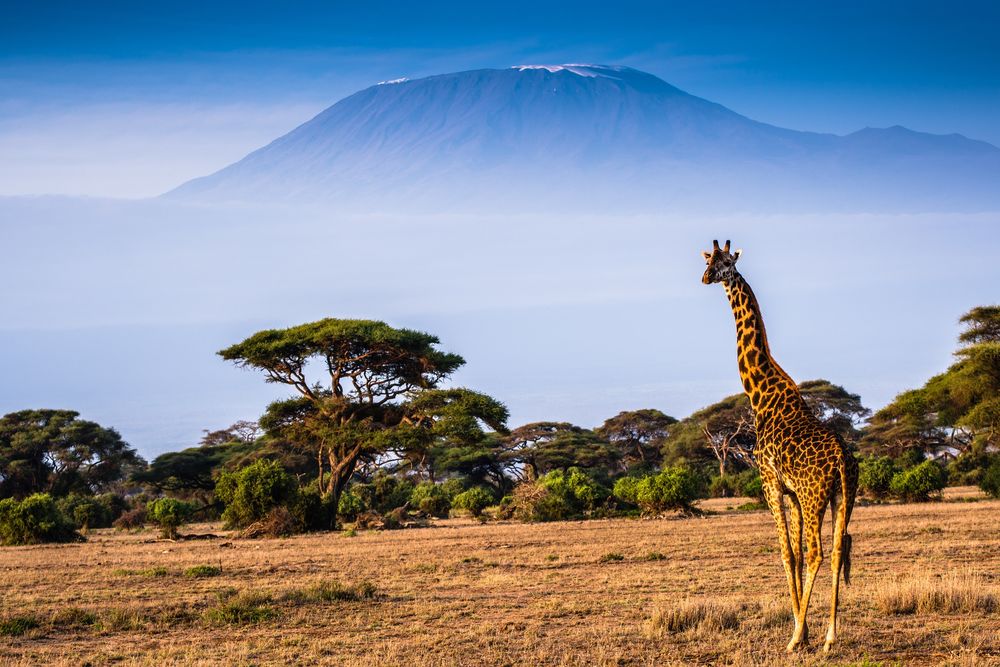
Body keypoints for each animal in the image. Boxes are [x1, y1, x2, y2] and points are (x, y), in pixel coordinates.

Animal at [700, 239, 858, 653]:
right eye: (709, 260)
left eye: (725, 262)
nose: (705, 277)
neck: (760, 392)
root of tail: (841, 459)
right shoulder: (791, 492)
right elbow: (797, 555)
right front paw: (808, 632)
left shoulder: (771, 482)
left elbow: (788, 553)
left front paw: (799, 632)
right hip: (843, 494)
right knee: (837, 550)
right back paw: (830, 636)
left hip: (815, 493)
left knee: (818, 551)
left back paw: (797, 636)